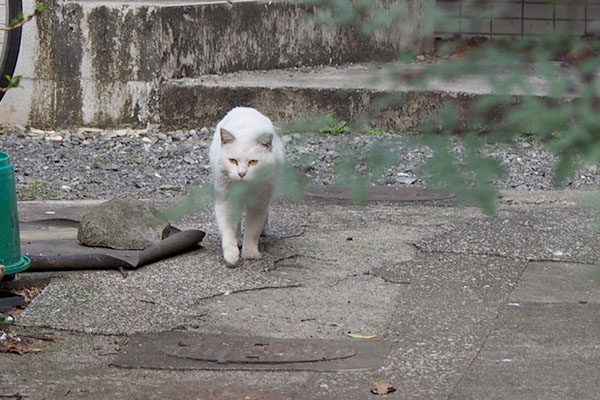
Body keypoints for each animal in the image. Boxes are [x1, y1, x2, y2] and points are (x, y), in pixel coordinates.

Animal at [209, 106, 286, 266]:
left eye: (253, 162)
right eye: (233, 160)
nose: (241, 173)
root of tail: (243, 108)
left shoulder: (259, 203)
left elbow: (252, 230)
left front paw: (250, 253)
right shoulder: (225, 200)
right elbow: (227, 228)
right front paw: (231, 254)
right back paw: (238, 239)